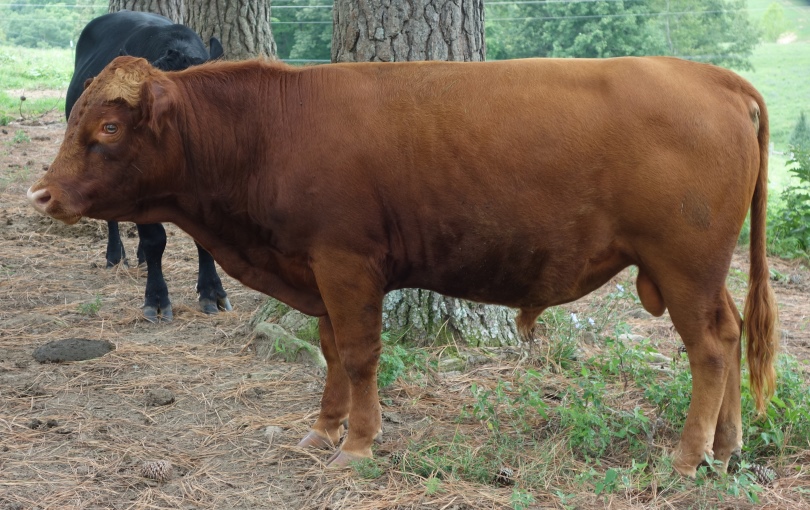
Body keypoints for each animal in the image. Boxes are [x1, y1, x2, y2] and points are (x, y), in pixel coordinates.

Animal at [29, 55, 778, 477]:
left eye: (108, 128)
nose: (43, 194)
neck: (272, 129)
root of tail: (711, 76)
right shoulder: (317, 272)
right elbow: (332, 350)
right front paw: (323, 430)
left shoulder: (345, 263)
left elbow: (361, 353)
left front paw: (358, 444)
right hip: (703, 274)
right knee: (732, 331)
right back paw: (728, 447)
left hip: (684, 264)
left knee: (711, 349)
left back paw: (688, 456)